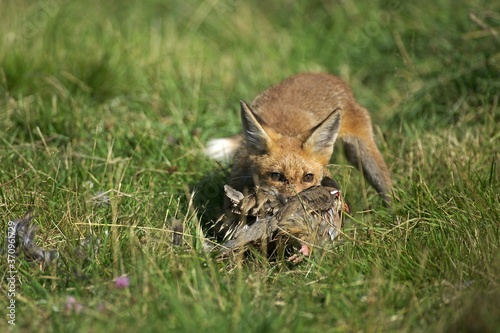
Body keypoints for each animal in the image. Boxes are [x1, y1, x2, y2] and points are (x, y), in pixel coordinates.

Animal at [205, 72, 392, 205]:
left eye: (308, 177)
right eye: (276, 176)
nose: (293, 202)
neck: (287, 129)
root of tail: (324, 75)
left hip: (364, 152)